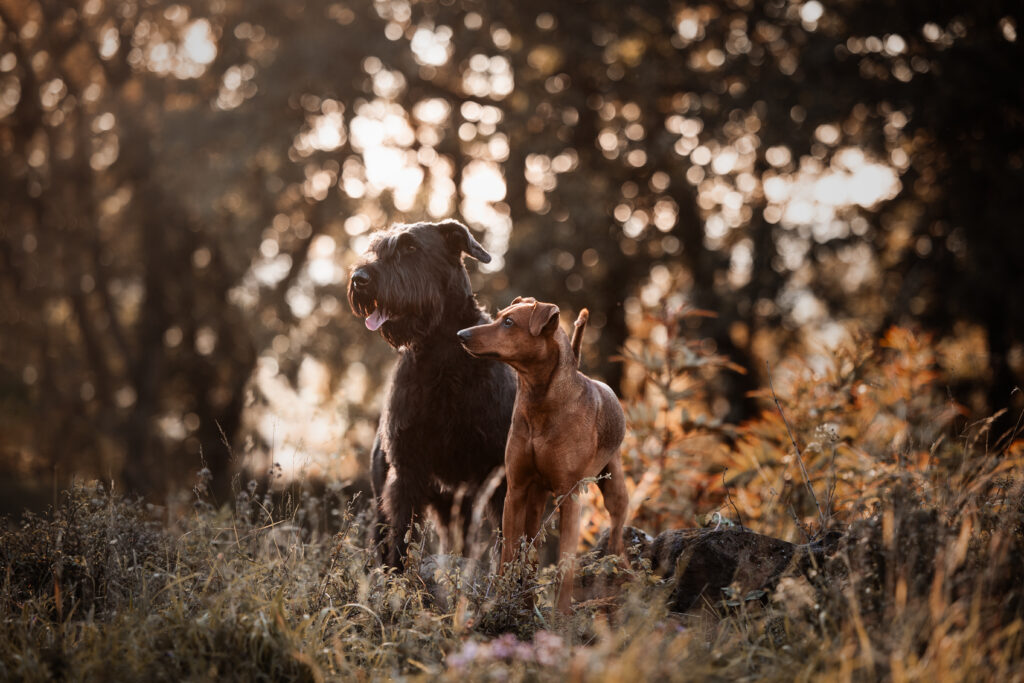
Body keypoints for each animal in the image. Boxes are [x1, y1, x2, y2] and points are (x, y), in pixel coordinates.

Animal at [458, 296, 630, 610]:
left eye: (509, 322)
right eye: (499, 316)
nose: (461, 334)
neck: (539, 399)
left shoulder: (569, 497)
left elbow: (565, 564)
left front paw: (560, 614)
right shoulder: (515, 491)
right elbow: (509, 553)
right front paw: (501, 601)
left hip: (614, 491)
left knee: (617, 537)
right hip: (536, 500)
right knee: (532, 549)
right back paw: (526, 601)